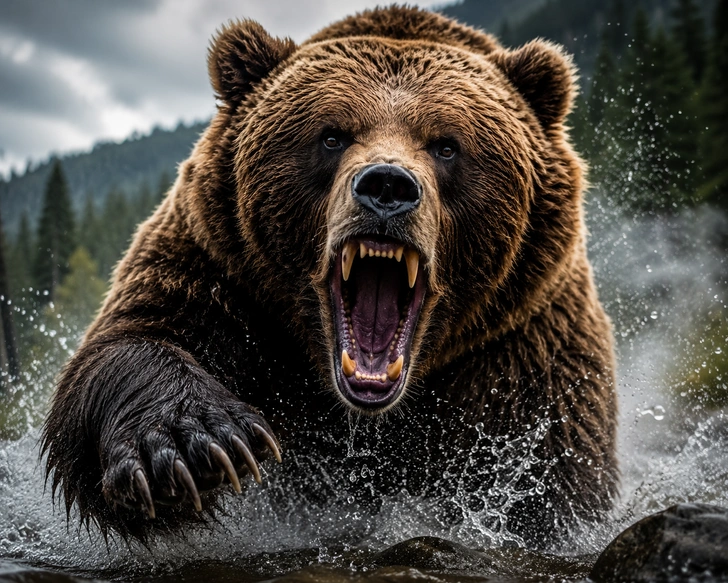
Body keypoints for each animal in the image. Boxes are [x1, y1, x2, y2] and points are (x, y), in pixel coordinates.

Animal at [41, 5, 618, 548]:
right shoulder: (223, 275)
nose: (387, 186)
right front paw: (195, 445)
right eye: (333, 136)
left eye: (446, 144)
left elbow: (555, 466)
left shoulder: (524, 344)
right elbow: (131, 339)